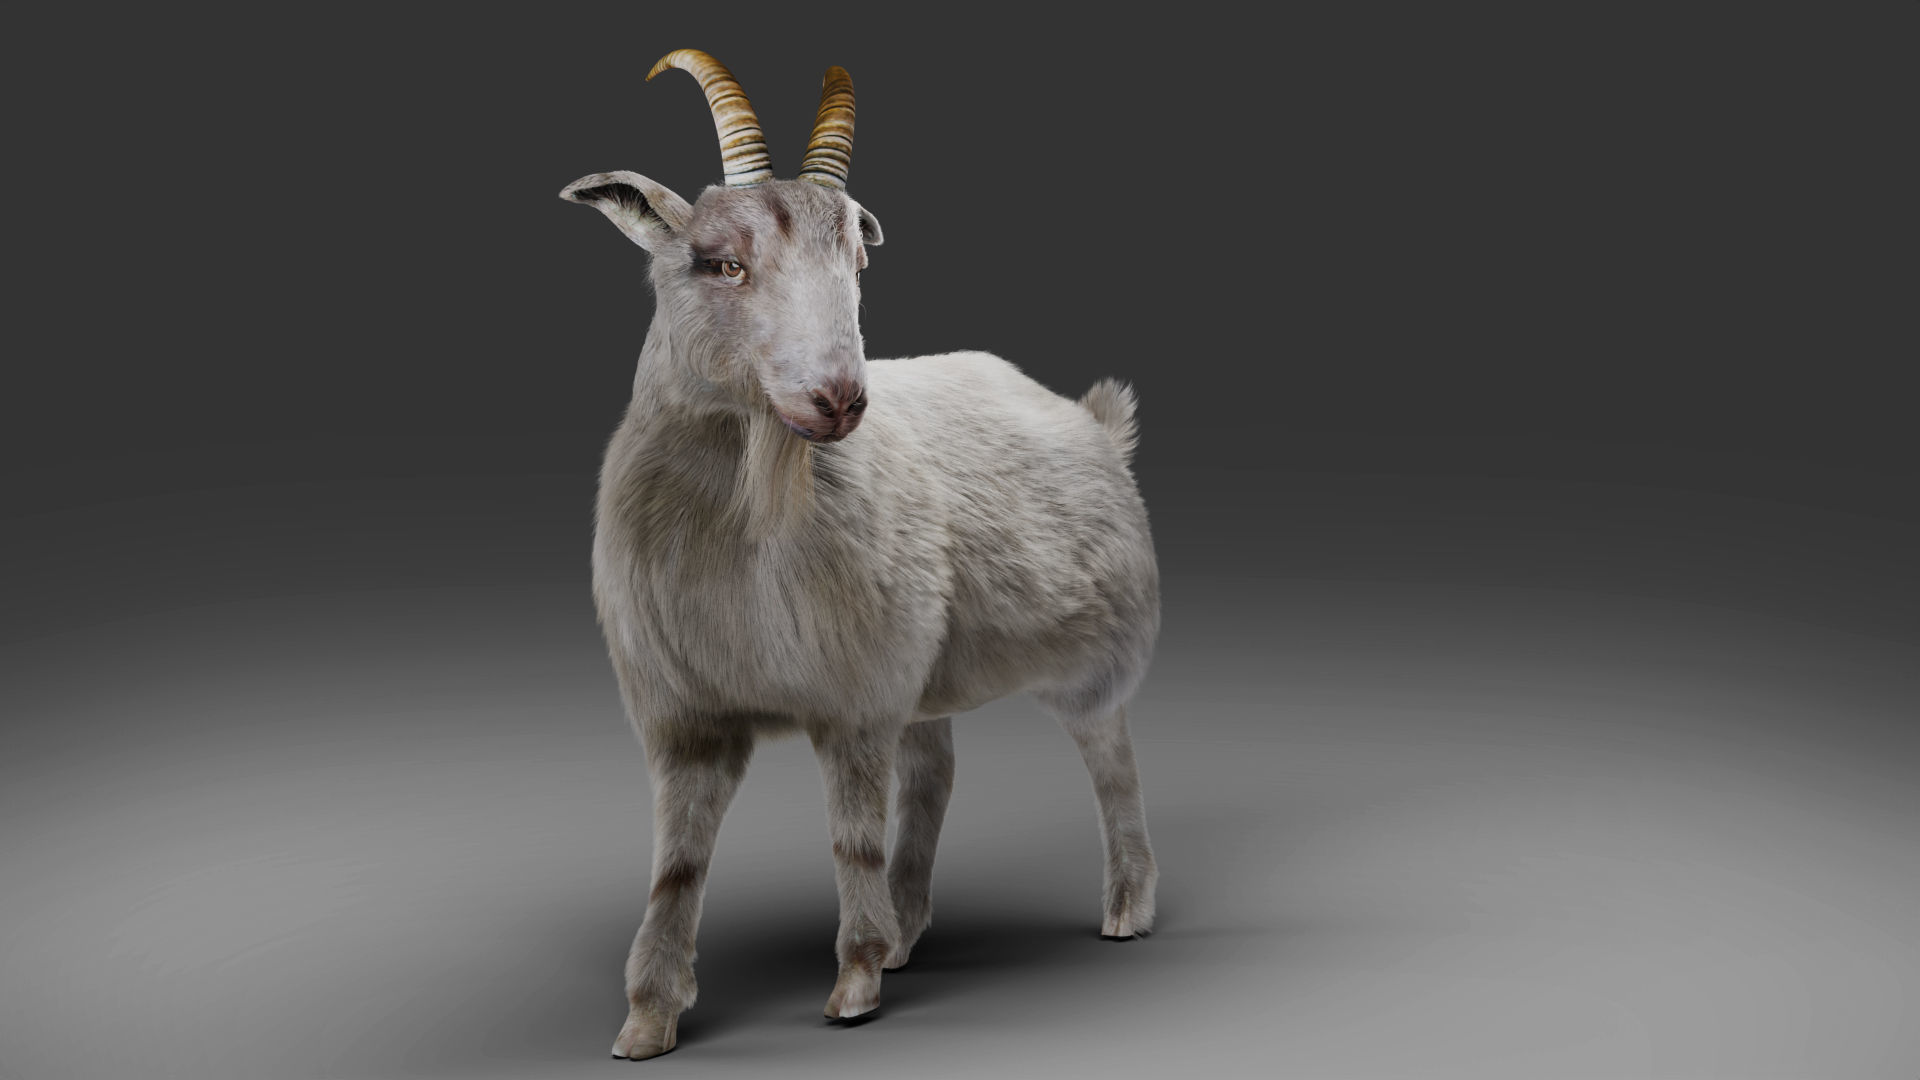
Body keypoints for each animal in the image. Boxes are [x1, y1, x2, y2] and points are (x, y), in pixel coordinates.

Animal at [560, 49, 1160, 1060]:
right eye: (719, 262)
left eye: (856, 259)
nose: (840, 398)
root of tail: (1095, 424)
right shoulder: (685, 714)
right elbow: (677, 863)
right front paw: (646, 1020)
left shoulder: (852, 701)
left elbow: (850, 837)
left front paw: (853, 984)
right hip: (924, 671)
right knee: (935, 775)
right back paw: (911, 930)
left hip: (1089, 662)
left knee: (1111, 762)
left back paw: (1126, 908)